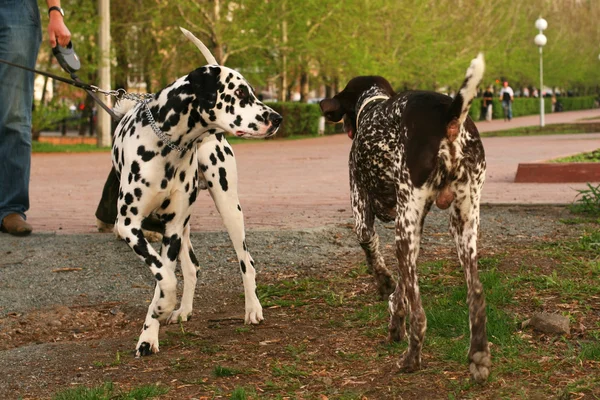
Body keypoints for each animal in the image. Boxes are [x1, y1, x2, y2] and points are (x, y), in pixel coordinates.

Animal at [112, 28, 284, 356]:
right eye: (241, 94)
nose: (278, 118)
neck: (167, 143)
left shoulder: (171, 230)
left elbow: (163, 281)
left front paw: (153, 325)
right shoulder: (131, 225)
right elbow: (165, 277)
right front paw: (156, 323)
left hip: (229, 208)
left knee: (246, 261)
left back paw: (252, 308)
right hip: (184, 225)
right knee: (191, 266)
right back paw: (183, 310)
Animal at [322, 54, 490, 382]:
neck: (373, 104)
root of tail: (448, 114)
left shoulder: (362, 213)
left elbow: (373, 252)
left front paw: (383, 283)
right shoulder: (416, 229)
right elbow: (401, 290)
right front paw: (393, 318)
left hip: (404, 230)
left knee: (420, 316)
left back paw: (411, 359)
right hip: (460, 225)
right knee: (475, 294)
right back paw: (478, 356)